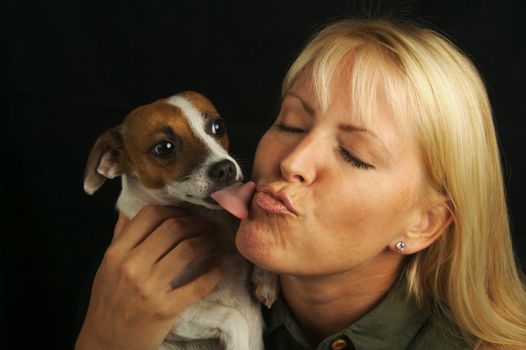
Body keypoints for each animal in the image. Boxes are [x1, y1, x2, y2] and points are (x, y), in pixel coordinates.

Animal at [84, 92, 270, 350]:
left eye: (218, 126)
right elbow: (233, 317)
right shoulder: (167, 310)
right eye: (164, 148)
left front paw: (266, 279)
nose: (226, 169)